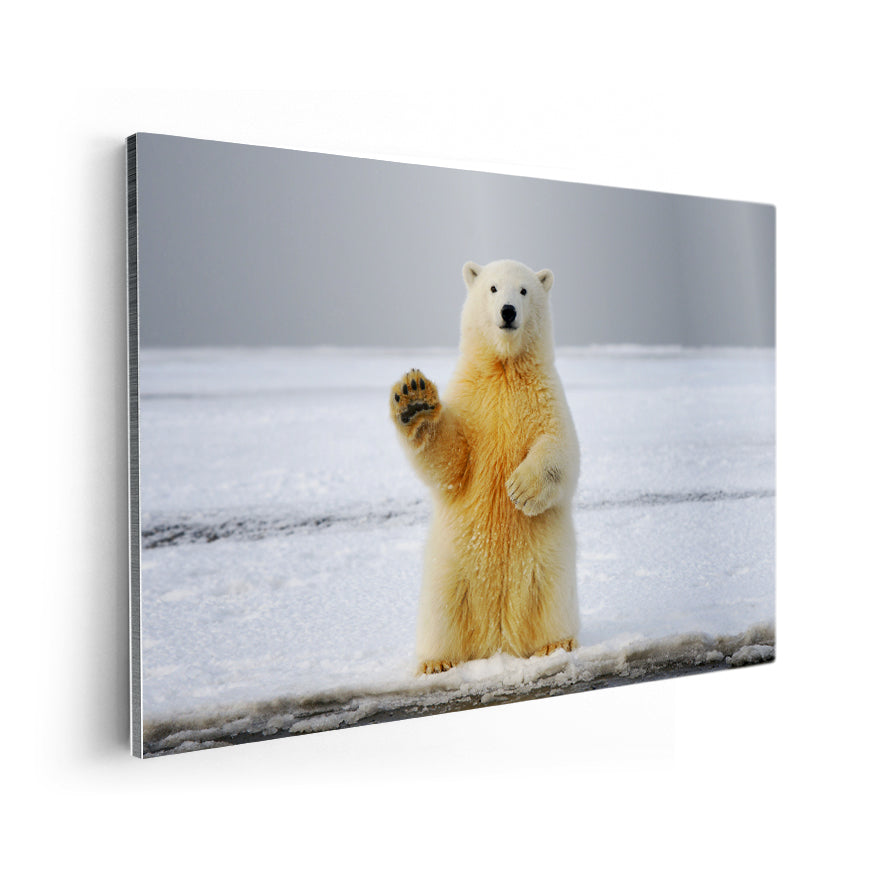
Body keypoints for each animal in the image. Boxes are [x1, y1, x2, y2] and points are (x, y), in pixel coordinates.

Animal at [390, 259, 580, 674]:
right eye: (492, 288)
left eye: (523, 290)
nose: (508, 311)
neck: (504, 369)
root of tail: (498, 640)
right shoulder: (472, 400)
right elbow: (451, 460)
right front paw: (414, 399)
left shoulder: (545, 396)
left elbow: (561, 450)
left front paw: (520, 489)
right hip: (450, 569)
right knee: (442, 613)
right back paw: (436, 663)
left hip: (547, 566)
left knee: (550, 600)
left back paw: (555, 645)